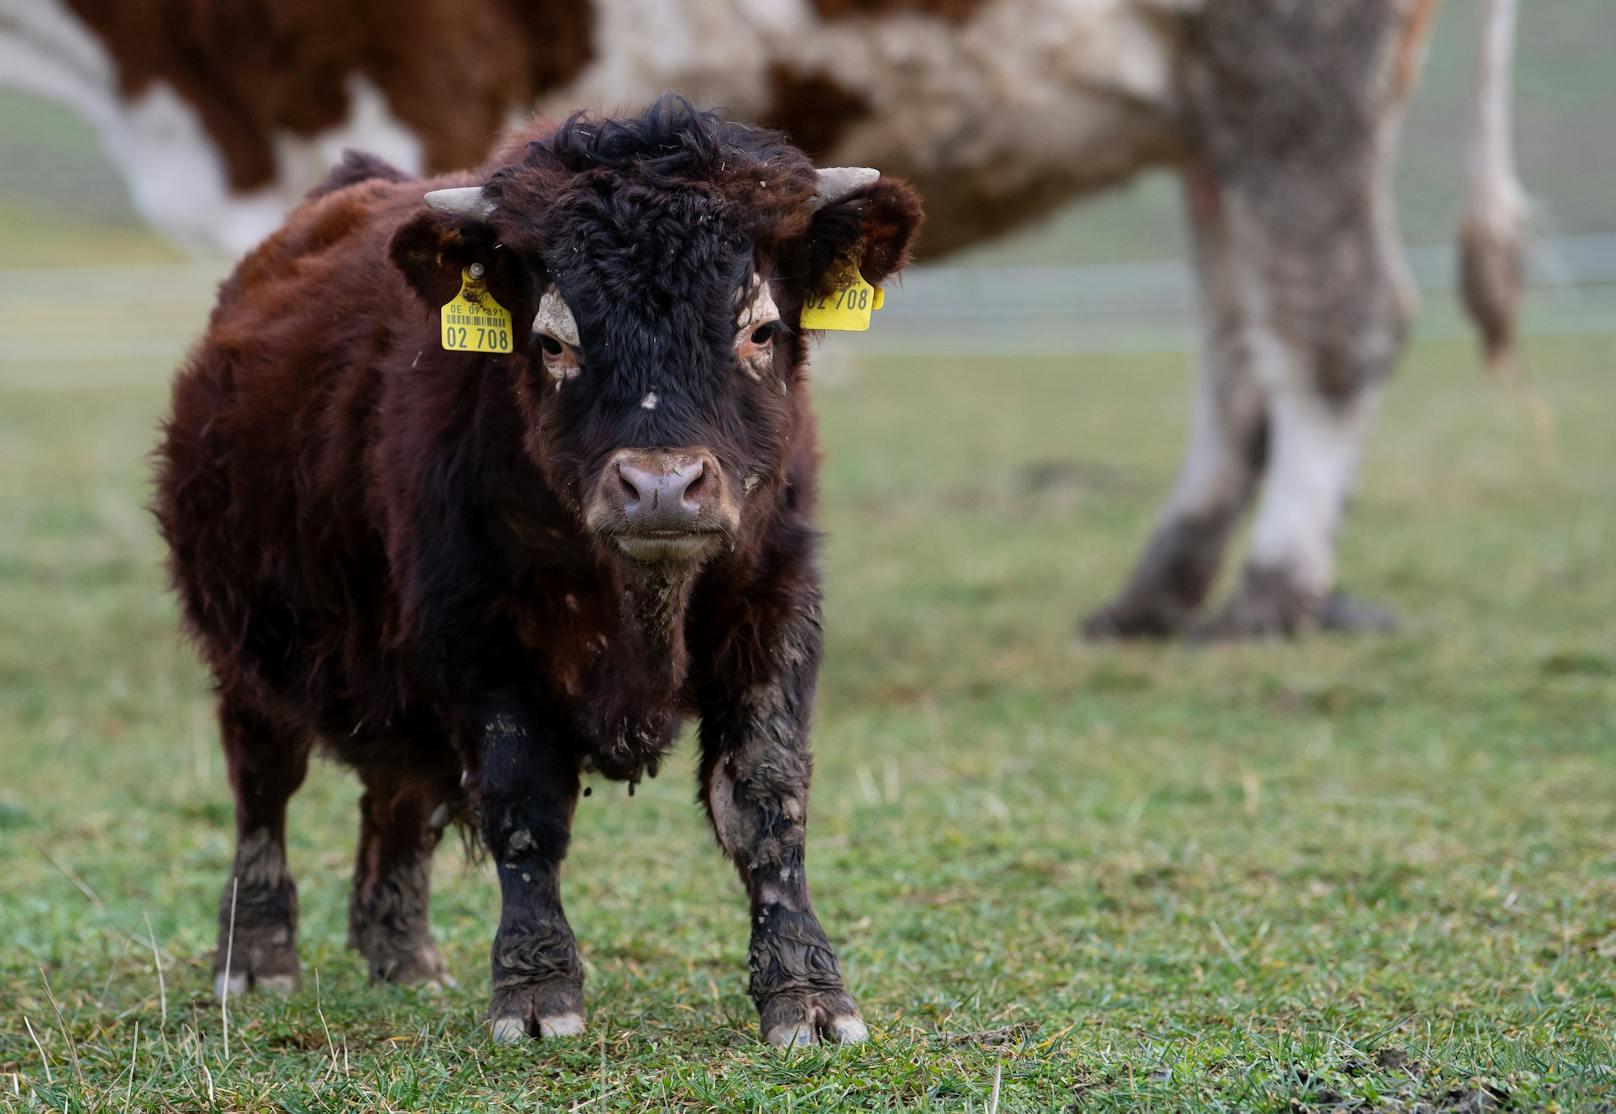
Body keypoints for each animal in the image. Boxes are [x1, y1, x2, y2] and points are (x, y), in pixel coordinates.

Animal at [0, 0, 1519, 633]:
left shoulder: (408, 67)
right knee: (1237, 335)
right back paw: (1159, 584)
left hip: (1290, 64)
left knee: (1333, 315)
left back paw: (1275, 589)